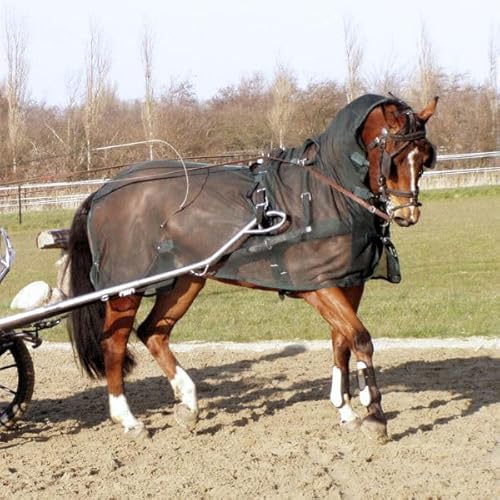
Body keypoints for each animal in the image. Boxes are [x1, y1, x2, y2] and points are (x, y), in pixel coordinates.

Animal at [67, 94, 438, 442]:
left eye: (422, 157)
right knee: (114, 345)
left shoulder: (349, 281)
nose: (407, 214)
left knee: (153, 332)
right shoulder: (317, 285)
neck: (323, 192)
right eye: (392, 156)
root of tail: (104, 190)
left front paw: (346, 411)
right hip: (124, 289)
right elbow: (360, 338)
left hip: (186, 281)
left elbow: (341, 342)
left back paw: (188, 404)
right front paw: (375, 415)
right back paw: (128, 420)